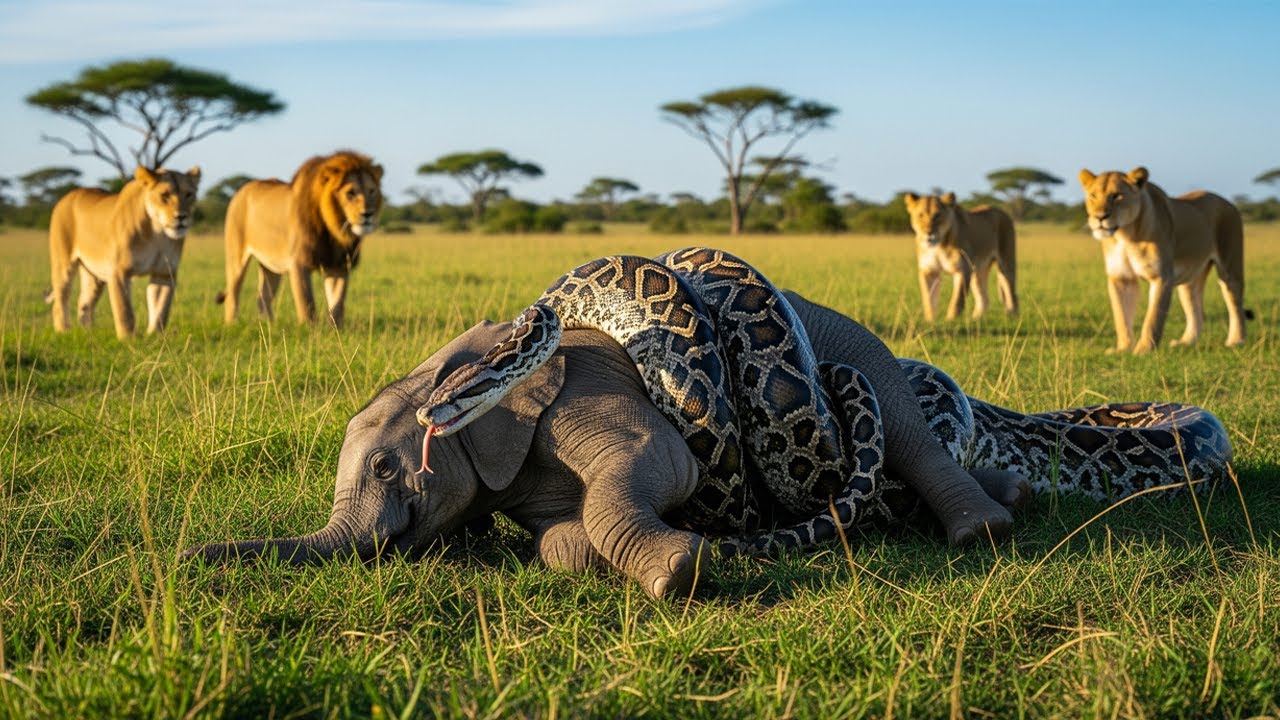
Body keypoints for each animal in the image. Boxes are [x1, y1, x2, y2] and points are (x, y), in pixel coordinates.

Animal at [46, 165, 201, 339]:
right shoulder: (119, 272)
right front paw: (128, 339)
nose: (181, 217)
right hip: (63, 264)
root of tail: (67, 195)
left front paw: (155, 336)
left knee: (84, 303)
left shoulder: (164, 273)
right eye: (165, 195)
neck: (157, 232)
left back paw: (89, 333)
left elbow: (161, 309)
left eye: (189, 194)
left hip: (94, 275)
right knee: (60, 300)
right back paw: (63, 331)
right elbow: (124, 309)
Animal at [184, 292, 1023, 599]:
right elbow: (560, 540)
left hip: (851, 344)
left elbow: (664, 465)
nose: (187, 559)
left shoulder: (588, 387)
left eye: (389, 465)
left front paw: (678, 567)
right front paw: (592, 550)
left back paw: (986, 524)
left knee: (907, 429)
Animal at [217, 150, 384, 328]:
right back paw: (232, 325)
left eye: (372, 191)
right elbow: (307, 304)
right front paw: (309, 330)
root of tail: (240, 191)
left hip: (271, 266)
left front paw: (336, 330)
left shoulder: (339, 266)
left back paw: (269, 325)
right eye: (350, 193)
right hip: (236, 257)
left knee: (263, 297)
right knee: (233, 294)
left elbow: (337, 305)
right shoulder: (299, 263)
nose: (368, 214)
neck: (335, 232)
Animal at [904, 192, 1018, 321]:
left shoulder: (963, 270)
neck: (938, 246)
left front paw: (950, 321)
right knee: (984, 297)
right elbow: (928, 299)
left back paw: (1012, 316)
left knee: (1011, 292)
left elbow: (957, 300)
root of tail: (1002, 211)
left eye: (937, 215)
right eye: (921, 215)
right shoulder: (929, 272)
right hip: (978, 271)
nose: (928, 233)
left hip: (1006, 263)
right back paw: (976, 318)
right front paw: (930, 321)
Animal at [1078, 167, 1249, 354]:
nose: (1099, 217)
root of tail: (1228, 202)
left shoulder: (1161, 277)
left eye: (1116, 195)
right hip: (1189, 280)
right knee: (1197, 312)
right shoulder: (1121, 278)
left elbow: (1153, 317)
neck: (1125, 235)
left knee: (1236, 306)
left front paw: (1143, 350)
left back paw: (1236, 341)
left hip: (1230, 267)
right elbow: (1121, 317)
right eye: (1093, 195)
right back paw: (1186, 342)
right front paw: (1123, 349)